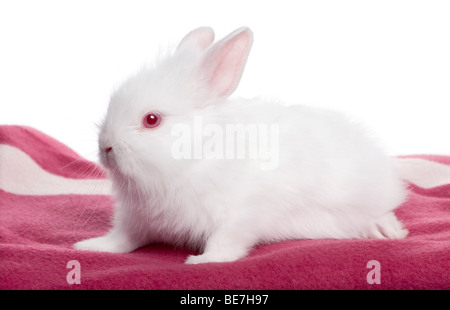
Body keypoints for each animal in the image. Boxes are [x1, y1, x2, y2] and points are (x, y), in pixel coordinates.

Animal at [74, 27, 408, 264]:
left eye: (152, 120)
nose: (106, 146)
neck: (196, 157)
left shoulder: (241, 216)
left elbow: (226, 243)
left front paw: (203, 261)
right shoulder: (135, 218)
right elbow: (122, 239)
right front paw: (91, 246)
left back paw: (386, 231)